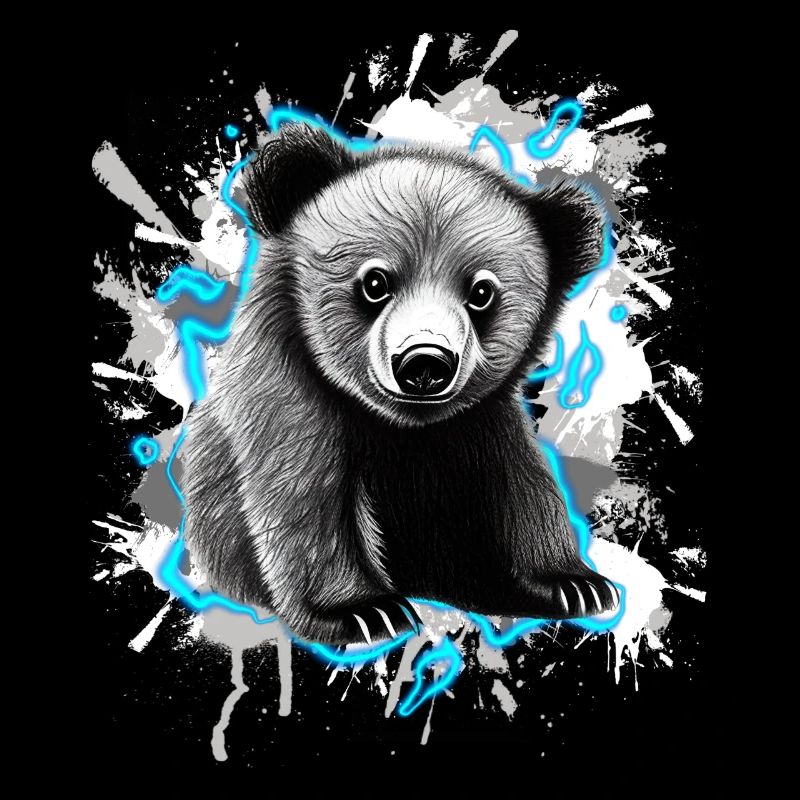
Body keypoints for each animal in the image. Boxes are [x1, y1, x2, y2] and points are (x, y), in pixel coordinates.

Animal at [182, 123, 619, 645]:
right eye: (375, 282)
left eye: (481, 292)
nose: (424, 362)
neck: (405, 427)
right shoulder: (290, 393)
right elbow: (303, 496)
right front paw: (364, 611)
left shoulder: (480, 423)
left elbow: (518, 487)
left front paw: (573, 583)